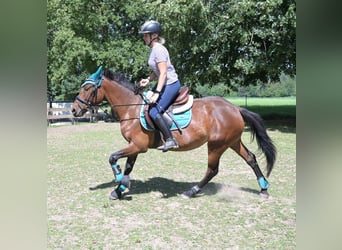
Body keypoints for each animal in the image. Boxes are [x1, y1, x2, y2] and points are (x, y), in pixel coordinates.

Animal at [71, 66, 276, 199]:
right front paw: (119, 189)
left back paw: (191, 192)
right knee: (250, 158)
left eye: (87, 88)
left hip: (216, 145)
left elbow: (113, 158)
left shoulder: (138, 145)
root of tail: (234, 108)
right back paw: (264, 189)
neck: (131, 107)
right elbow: (129, 166)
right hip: (232, 141)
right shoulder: (135, 146)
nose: (74, 110)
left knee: (212, 170)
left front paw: (120, 180)